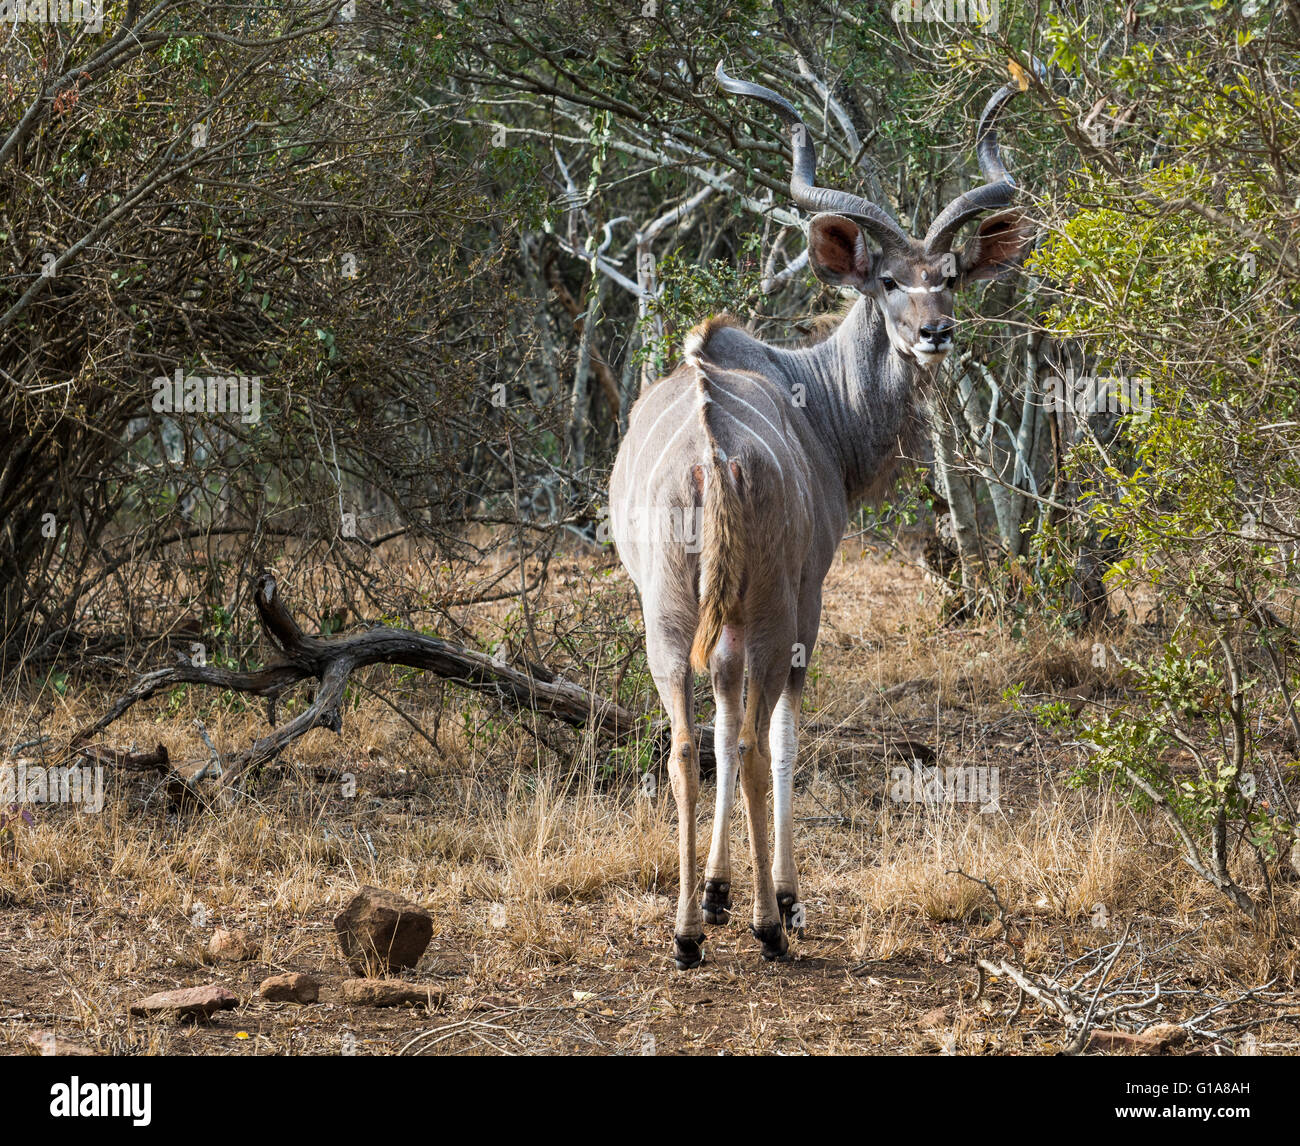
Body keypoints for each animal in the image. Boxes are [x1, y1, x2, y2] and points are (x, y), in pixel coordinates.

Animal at [608, 58, 1034, 961]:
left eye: (948, 278)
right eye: (888, 281)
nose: (936, 333)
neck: (816, 399)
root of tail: (710, 455)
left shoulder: (718, 621)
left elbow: (719, 723)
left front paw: (717, 893)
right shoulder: (807, 594)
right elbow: (778, 734)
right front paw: (777, 896)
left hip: (668, 615)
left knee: (686, 744)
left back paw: (685, 934)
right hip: (774, 607)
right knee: (754, 736)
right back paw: (771, 926)